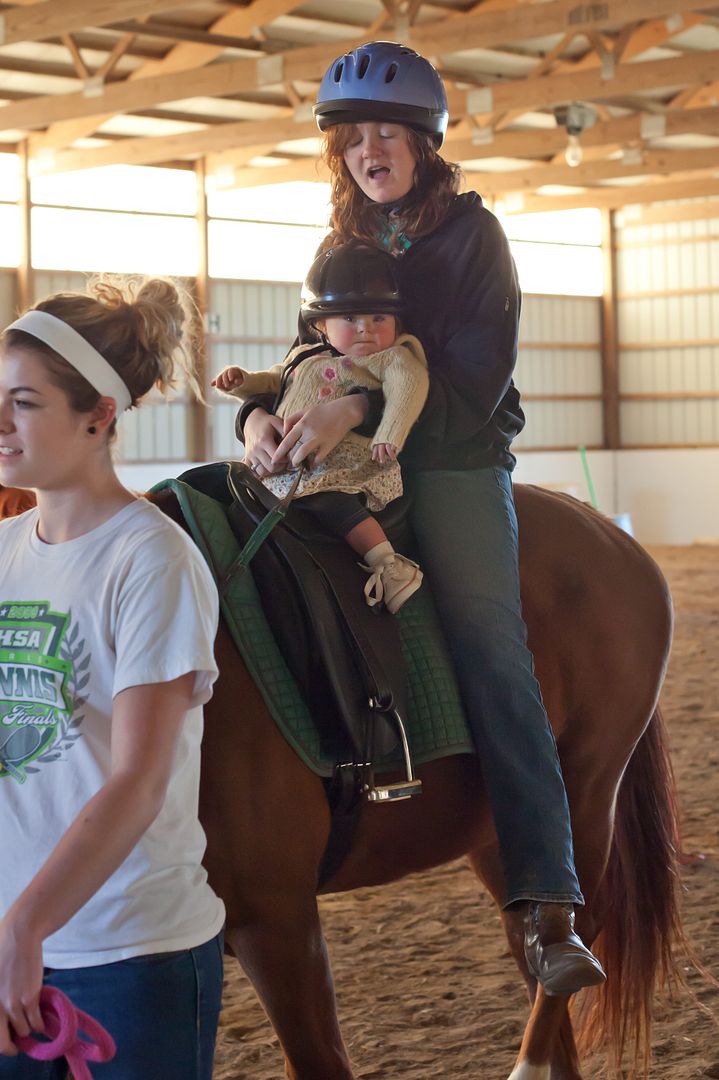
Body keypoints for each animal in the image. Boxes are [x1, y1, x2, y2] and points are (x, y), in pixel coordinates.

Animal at [0, 483, 677, 1080]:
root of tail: (609, 533)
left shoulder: (276, 921)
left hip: (586, 796)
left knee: (570, 941)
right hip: (499, 836)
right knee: (529, 936)